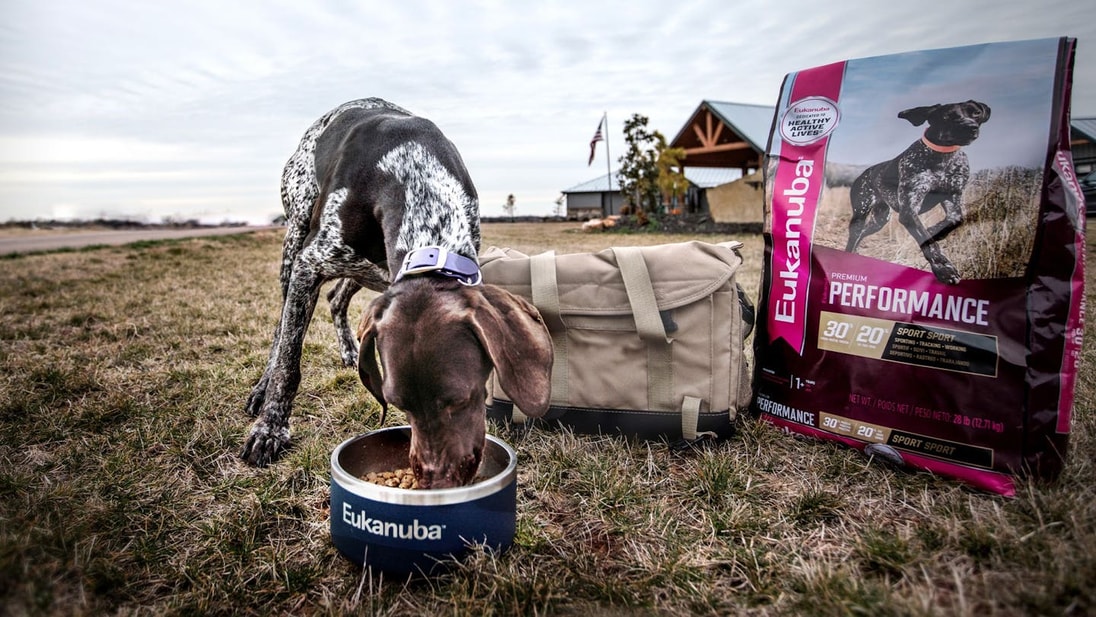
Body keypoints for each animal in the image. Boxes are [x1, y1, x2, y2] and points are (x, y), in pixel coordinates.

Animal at [248, 99, 556, 488]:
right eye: (399, 404)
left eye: (462, 399)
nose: (437, 482)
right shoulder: (310, 263)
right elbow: (289, 362)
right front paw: (270, 429)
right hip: (296, 239)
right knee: (282, 328)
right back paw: (263, 389)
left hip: (368, 272)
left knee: (337, 298)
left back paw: (348, 349)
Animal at [841, 100, 990, 284]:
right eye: (947, 116)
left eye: (975, 113)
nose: (971, 127)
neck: (943, 156)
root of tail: (863, 174)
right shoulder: (909, 210)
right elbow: (929, 243)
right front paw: (944, 270)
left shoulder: (953, 197)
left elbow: (956, 219)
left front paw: (935, 231)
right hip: (861, 213)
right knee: (854, 236)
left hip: (880, 219)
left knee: (862, 233)